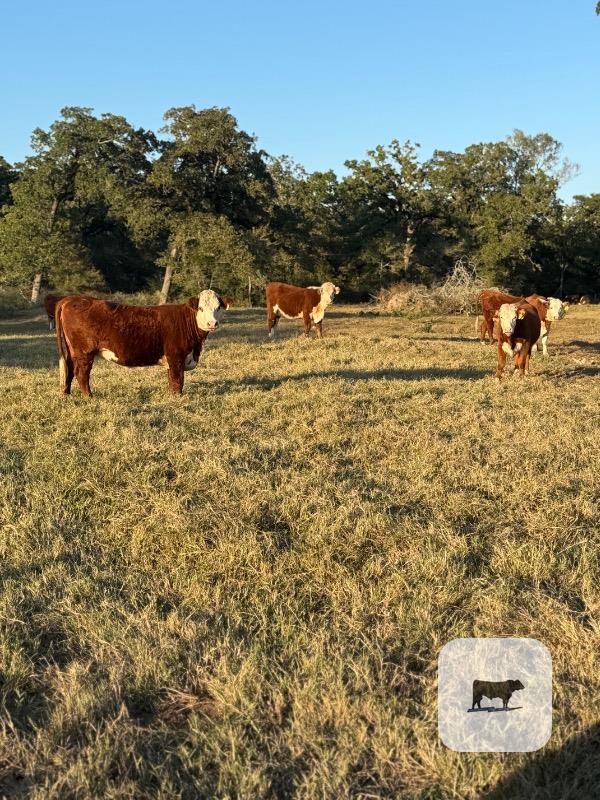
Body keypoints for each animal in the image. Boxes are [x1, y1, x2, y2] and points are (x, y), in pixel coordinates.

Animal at [55, 290, 230, 396]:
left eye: (218, 307)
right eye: (200, 308)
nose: (212, 323)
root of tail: (70, 299)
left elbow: (171, 380)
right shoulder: (176, 356)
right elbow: (177, 380)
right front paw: (176, 398)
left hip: (71, 351)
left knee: (69, 369)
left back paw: (67, 394)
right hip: (84, 352)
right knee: (81, 373)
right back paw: (89, 397)